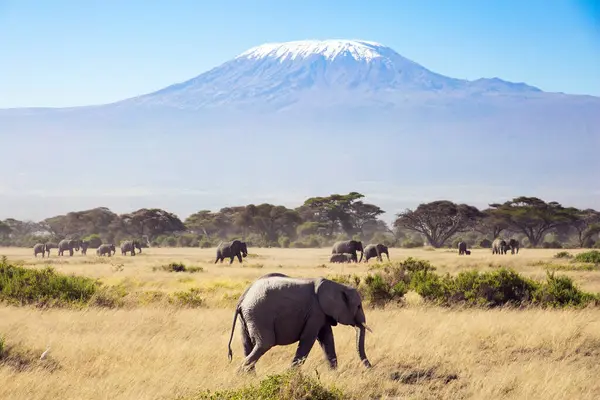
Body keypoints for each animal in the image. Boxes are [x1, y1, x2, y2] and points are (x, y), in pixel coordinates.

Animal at [227, 272, 372, 372]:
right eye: (359, 306)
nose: (370, 369)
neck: (337, 285)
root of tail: (243, 298)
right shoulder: (315, 311)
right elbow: (308, 339)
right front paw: (289, 375)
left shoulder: (321, 313)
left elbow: (327, 339)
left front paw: (334, 374)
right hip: (259, 315)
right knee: (265, 343)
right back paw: (239, 375)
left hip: (247, 317)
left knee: (247, 345)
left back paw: (248, 378)